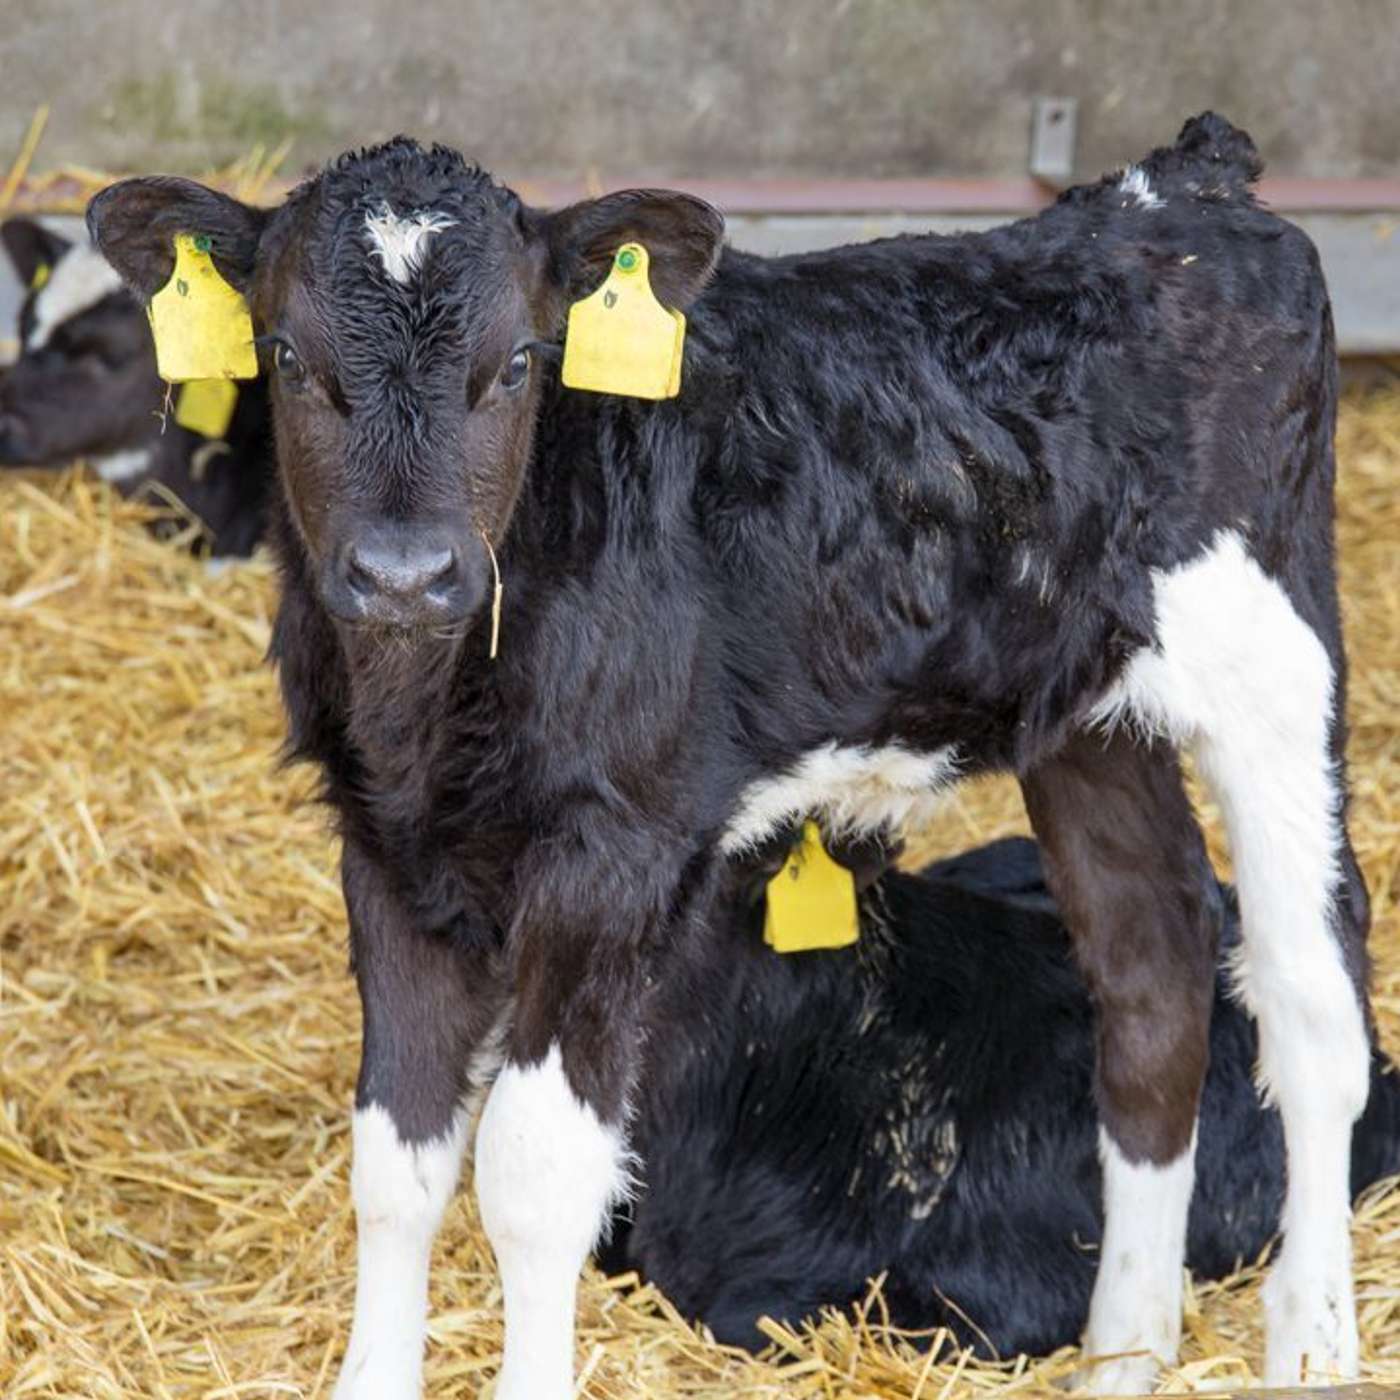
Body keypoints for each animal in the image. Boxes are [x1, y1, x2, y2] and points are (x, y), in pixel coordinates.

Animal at [89, 111, 1374, 1396]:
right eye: (286, 356)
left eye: (517, 363)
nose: (403, 573)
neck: (430, 707)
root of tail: (1180, 185)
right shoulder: (386, 846)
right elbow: (394, 1166)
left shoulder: (617, 849)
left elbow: (531, 1177)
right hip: (1088, 717)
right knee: (1150, 964)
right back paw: (1122, 1349)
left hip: (1276, 653)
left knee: (1311, 994)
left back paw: (1312, 1338)